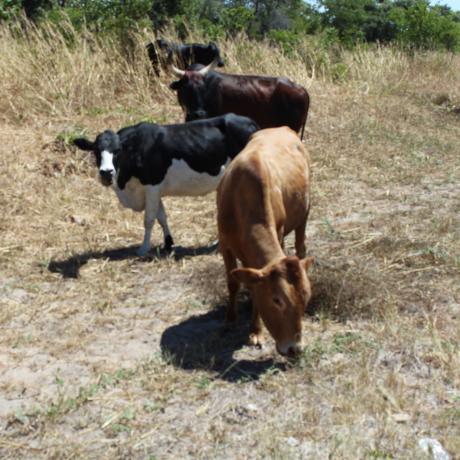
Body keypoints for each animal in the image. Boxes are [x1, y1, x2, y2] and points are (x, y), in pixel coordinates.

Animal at [73, 112, 256, 255]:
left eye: (117, 151)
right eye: (96, 151)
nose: (106, 172)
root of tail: (250, 122)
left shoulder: (152, 185)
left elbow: (149, 219)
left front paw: (143, 248)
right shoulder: (154, 190)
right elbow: (161, 217)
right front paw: (168, 243)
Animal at [217, 126, 314, 360]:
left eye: (306, 299)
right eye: (277, 300)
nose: (295, 349)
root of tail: (283, 128)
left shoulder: (278, 235)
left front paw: (256, 331)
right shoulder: (224, 244)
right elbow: (233, 282)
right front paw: (230, 319)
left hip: (305, 213)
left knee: (300, 246)